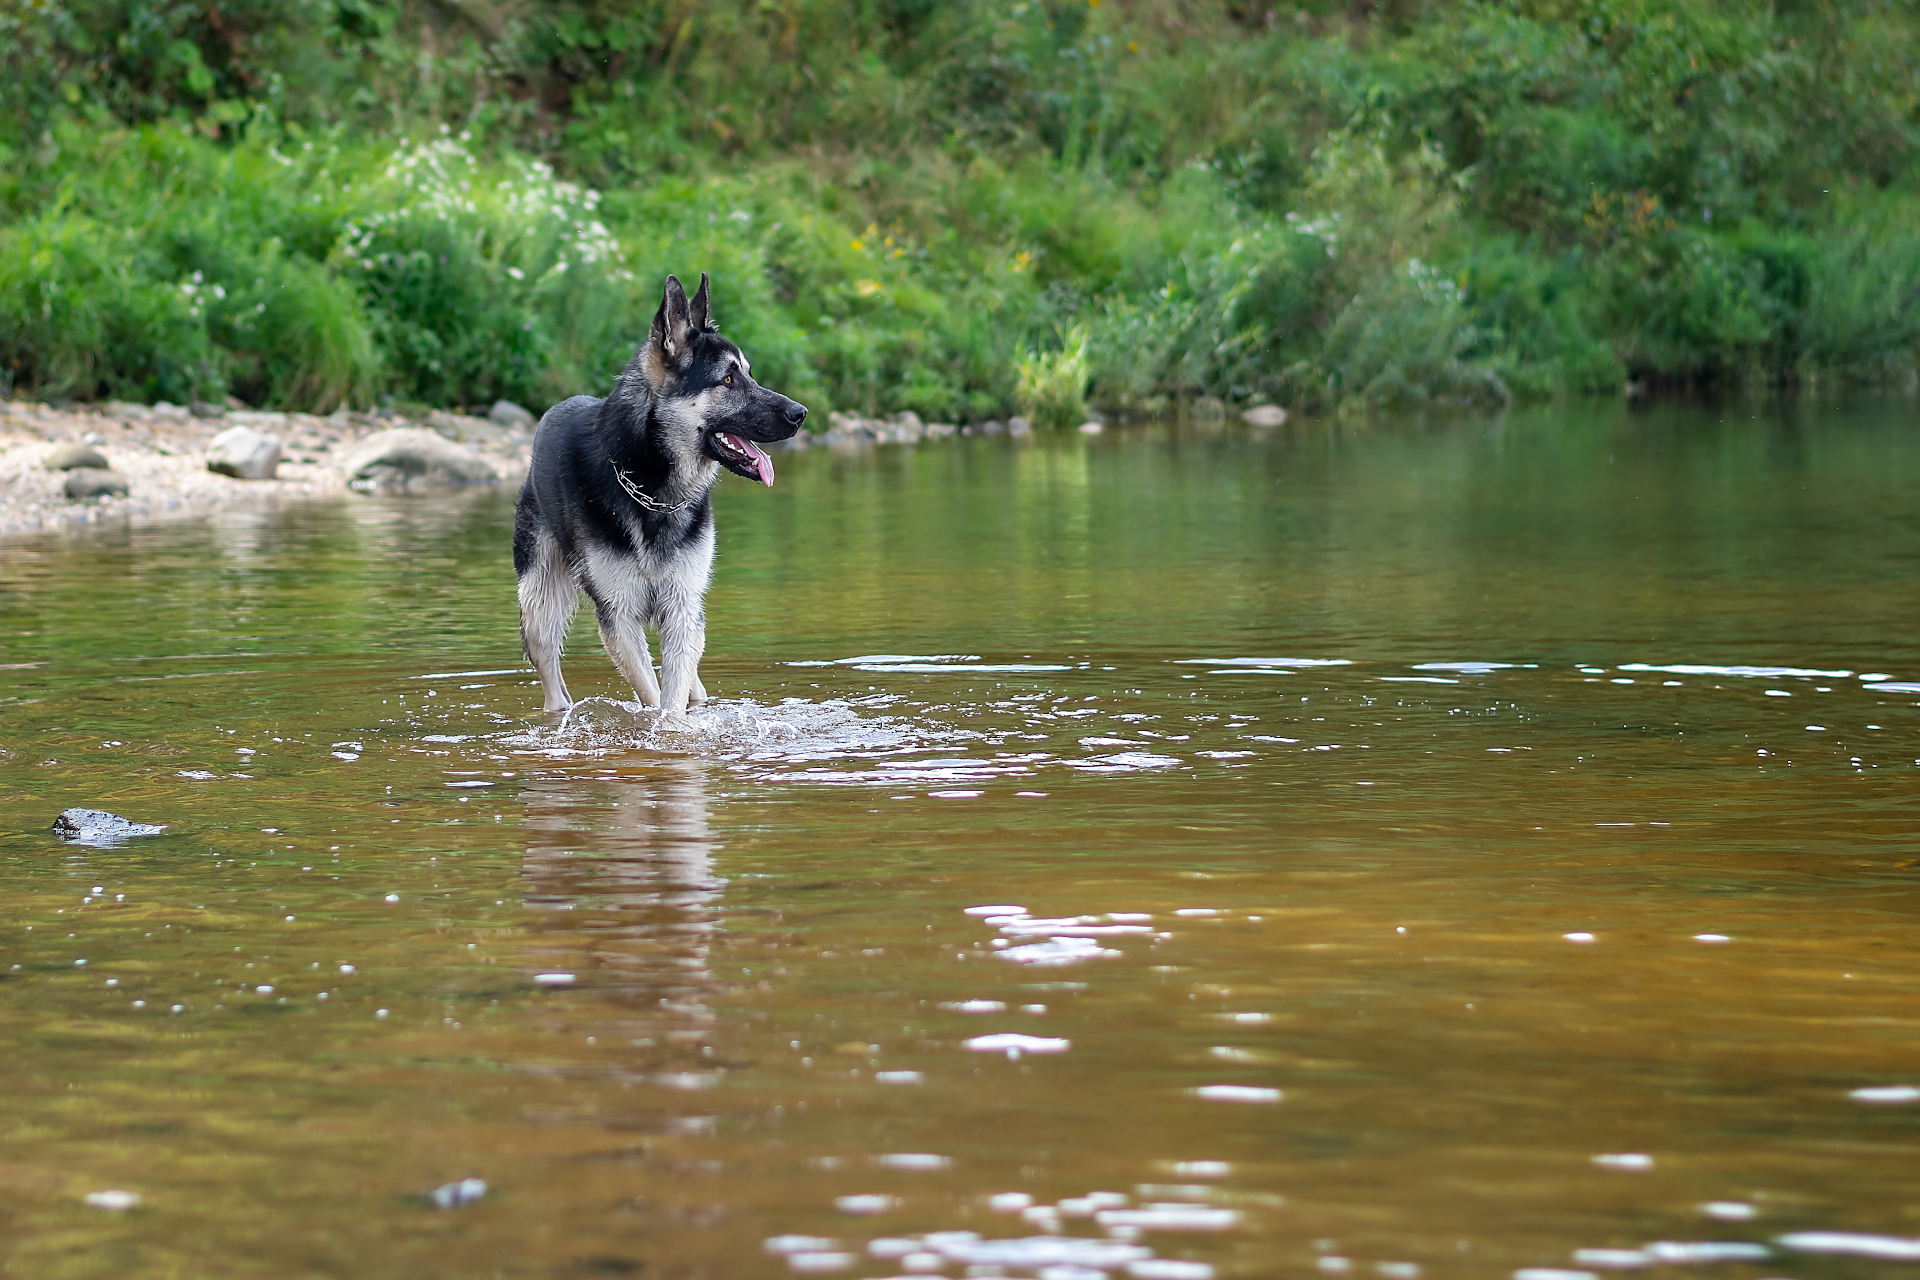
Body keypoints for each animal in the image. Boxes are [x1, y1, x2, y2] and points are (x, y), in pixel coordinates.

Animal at [510, 272, 802, 717]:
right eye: (728, 379)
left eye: (750, 374)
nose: (800, 414)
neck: (652, 489)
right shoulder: (619, 619)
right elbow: (653, 699)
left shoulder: (683, 608)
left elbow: (674, 698)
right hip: (539, 611)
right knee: (554, 684)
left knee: (693, 684)